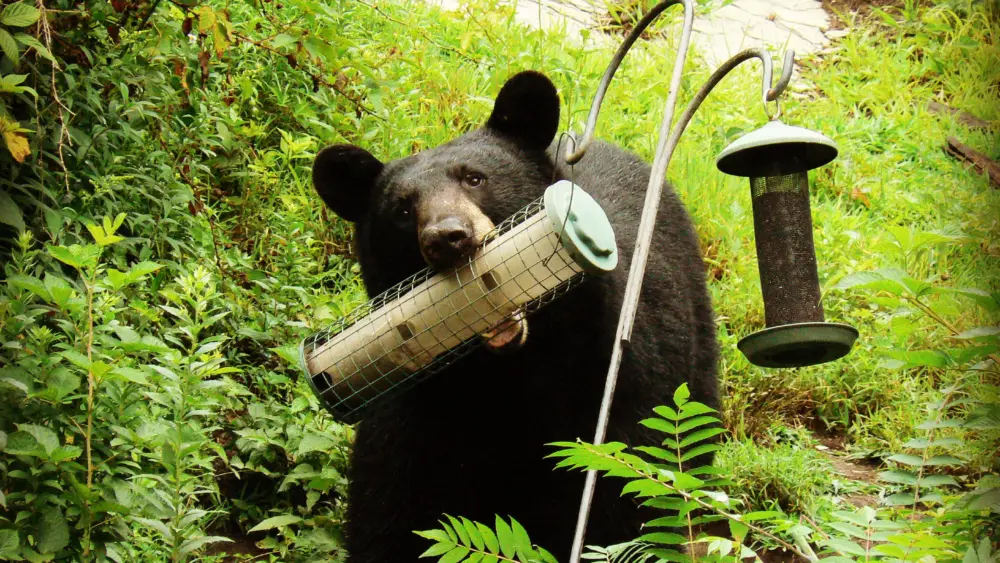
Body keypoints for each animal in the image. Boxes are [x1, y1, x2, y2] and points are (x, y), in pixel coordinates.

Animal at [311, 70, 720, 563]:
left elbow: (620, 501)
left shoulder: (614, 382)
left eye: (474, 178)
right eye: (403, 209)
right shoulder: (416, 411)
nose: (448, 238)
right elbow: (390, 510)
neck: (506, 379)